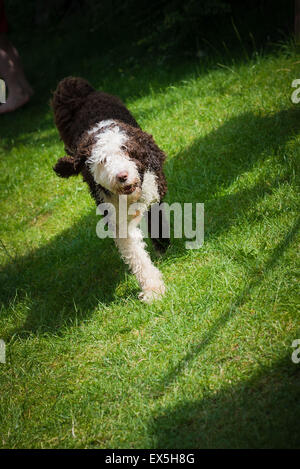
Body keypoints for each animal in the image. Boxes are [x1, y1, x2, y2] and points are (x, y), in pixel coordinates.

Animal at [51, 76, 169, 304]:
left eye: (128, 150)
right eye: (102, 161)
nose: (121, 176)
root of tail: (79, 93)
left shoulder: (155, 190)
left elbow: (156, 219)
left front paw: (162, 248)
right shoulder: (117, 217)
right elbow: (136, 254)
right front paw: (152, 288)